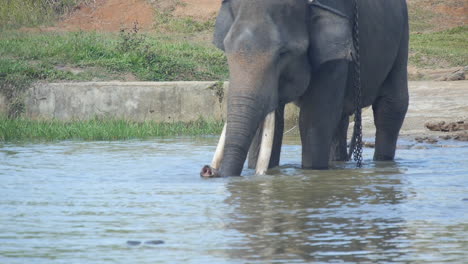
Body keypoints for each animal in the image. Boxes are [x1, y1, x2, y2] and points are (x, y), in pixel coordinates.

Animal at [199, 0, 408, 177]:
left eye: (283, 53)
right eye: (226, 49)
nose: (208, 171)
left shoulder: (334, 50)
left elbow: (314, 118)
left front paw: (312, 172)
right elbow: (274, 123)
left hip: (402, 34)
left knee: (391, 107)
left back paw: (382, 164)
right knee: (340, 119)